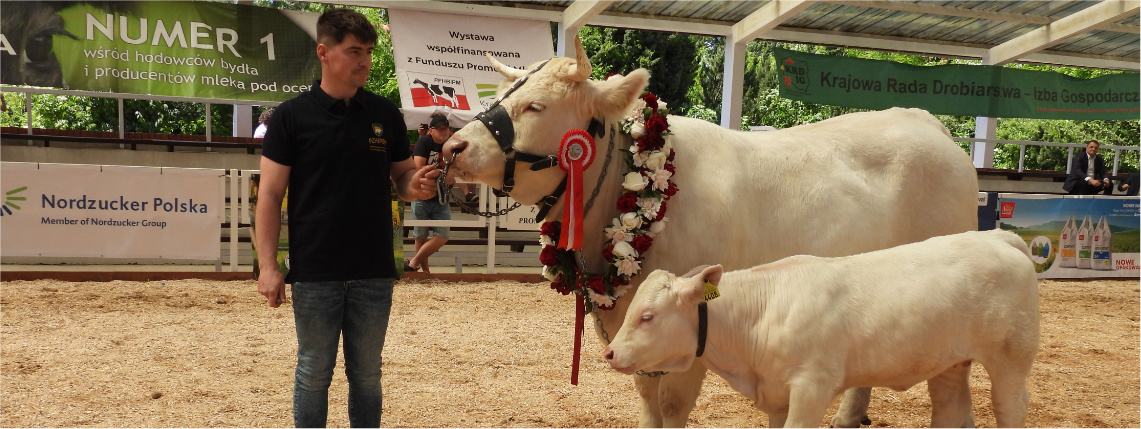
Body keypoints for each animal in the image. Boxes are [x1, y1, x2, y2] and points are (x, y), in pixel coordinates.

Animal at [438, 38, 981, 426]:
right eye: (503, 96)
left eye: (537, 106)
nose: (452, 147)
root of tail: (922, 120)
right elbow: (647, 399)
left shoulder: (692, 320)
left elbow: (672, 404)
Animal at [611, 231, 1040, 429]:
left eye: (647, 316)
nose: (610, 353)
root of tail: (997, 236)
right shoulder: (776, 395)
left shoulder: (811, 387)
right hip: (950, 363)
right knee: (949, 407)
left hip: (1010, 358)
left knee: (1010, 405)